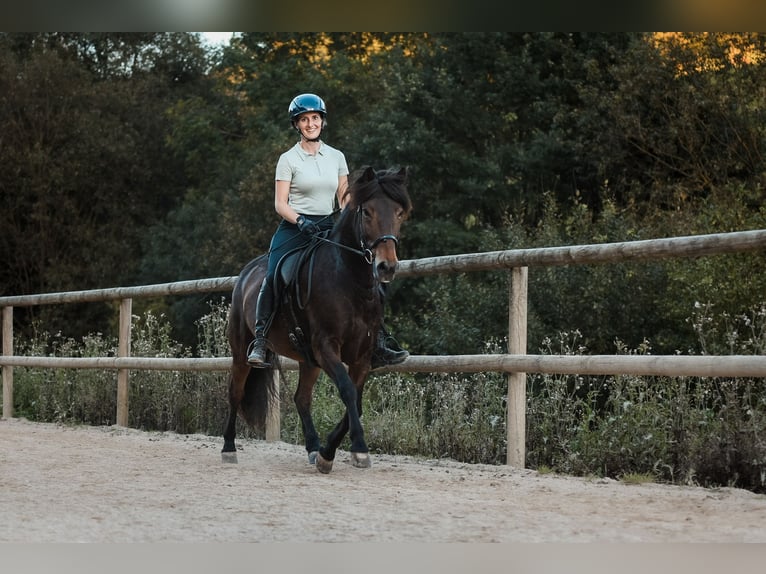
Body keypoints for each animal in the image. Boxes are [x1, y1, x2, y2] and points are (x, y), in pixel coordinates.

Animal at [222, 165, 414, 472]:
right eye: (367, 211)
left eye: (399, 213)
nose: (386, 267)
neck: (350, 281)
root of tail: (246, 273)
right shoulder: (326, 347)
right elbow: (348, 392)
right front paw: (358, 450)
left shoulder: (362, 356)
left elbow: (356, 402)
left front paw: (328, 452)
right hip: (242, 351)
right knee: (235, 393)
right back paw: (228, 448)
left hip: (307, 359)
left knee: (301, 399)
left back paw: (313, 448)